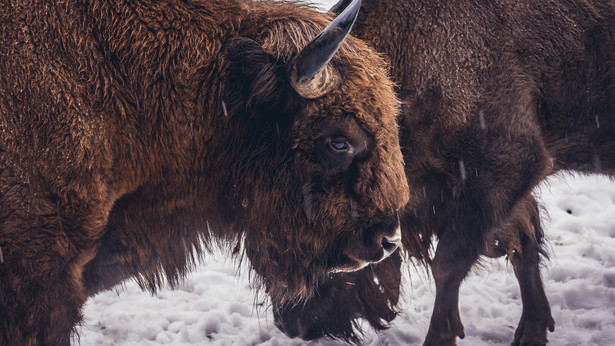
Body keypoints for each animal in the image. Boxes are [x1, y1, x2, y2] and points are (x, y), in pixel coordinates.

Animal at [276, 0, 615, 344]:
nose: (288, 323)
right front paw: (533, 329)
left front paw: (442, 335)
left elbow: (448, 264)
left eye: (337, 144)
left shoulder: (505, 171)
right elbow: (523, 244)